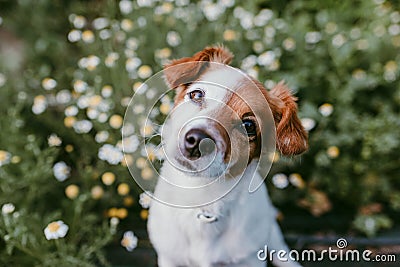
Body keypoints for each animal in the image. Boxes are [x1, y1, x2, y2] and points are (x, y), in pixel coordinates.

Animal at [147, 46, 306, 267]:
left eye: (248, 126)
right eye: (197, 94)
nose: (197, 140)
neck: (203, 198)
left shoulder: (250, 259)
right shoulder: (169, 257)